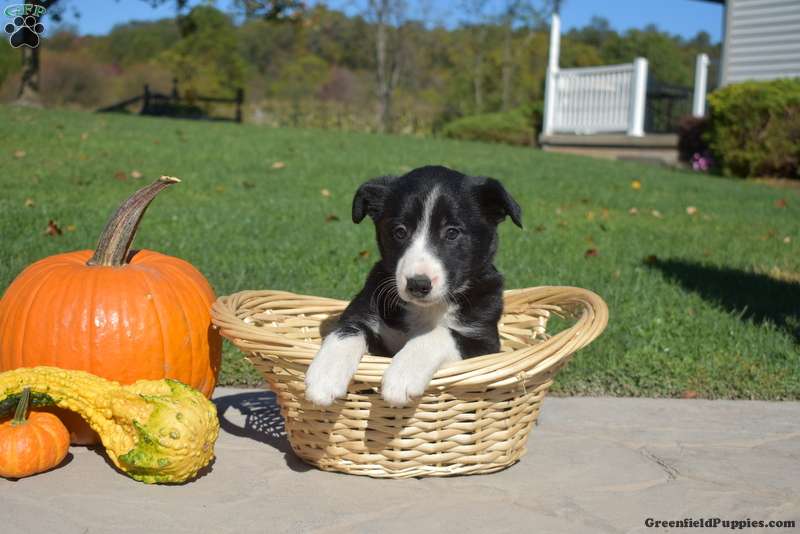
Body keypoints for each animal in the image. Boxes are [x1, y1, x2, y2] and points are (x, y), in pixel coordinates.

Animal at [305, 165, 522, 407]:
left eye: (452, 232)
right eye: (400, 231)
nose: (418, 284)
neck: (427, 308)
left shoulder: (485, 342)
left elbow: (440, 333)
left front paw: (402, 375)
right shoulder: (363, 312)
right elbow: (347, 329)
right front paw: (324, 377)